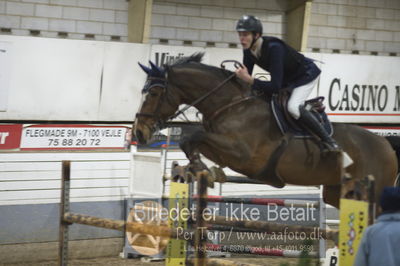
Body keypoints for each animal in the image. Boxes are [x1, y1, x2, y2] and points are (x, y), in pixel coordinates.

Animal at [134, 52, 396, 210]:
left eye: (154, 93)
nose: (138, 133)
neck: (231, 104)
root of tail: (386, 145)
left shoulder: (243, 155)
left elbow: (193, 136)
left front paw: (203, 170)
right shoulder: (224, 150)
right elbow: (192, 142)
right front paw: (205, 170)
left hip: (371, 192)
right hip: (338, 192)